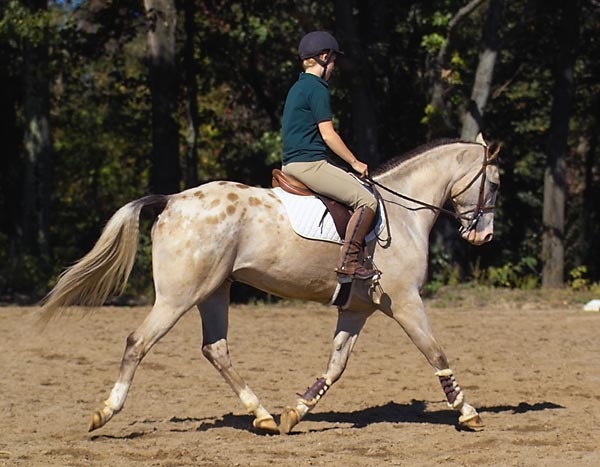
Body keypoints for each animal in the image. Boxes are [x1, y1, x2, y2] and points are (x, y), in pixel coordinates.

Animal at [39, 134, 500, 436]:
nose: (484, 236)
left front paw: (296, 412)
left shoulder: (357, 309)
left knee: (215, 349)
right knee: (139, 341)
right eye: (494, 184)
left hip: (213, 291)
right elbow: (435, 352)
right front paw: (467, 411)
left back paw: (261, 415)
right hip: (178, 296)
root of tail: (171, 200)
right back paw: (105, 412)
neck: (402, 212)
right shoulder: (405, 302)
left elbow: (335, 365)